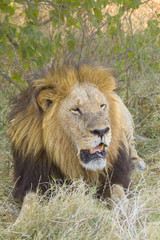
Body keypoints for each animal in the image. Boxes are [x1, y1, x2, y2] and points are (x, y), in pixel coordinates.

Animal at [8, 61, 145, 208]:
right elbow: (29, 203)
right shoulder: (32, 180)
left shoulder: (114, 176)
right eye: (75, 110)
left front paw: (128, 209)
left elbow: (119, 194)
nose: (102, 131)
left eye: (102, 106)